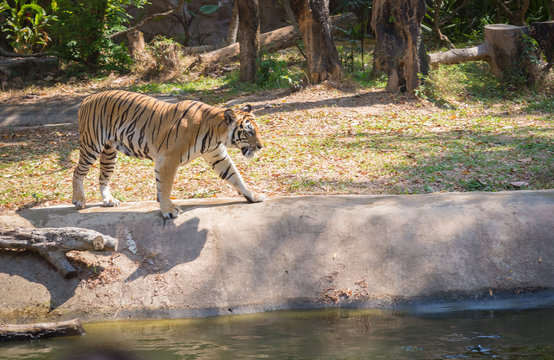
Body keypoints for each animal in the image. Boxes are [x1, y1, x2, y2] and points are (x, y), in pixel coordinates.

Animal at [71, 90, 264, 219]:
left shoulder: (218, 156)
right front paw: (168, 211)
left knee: (103, 177)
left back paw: (109, 200)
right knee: (77, 171)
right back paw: (79, 201)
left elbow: (235, 176)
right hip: (92, 145)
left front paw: (253, 196)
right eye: (250, 132)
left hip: (109, 152)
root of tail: (87, 99)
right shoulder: (168, 159)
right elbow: (165, 186)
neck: (216, 134)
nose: (261, 146)